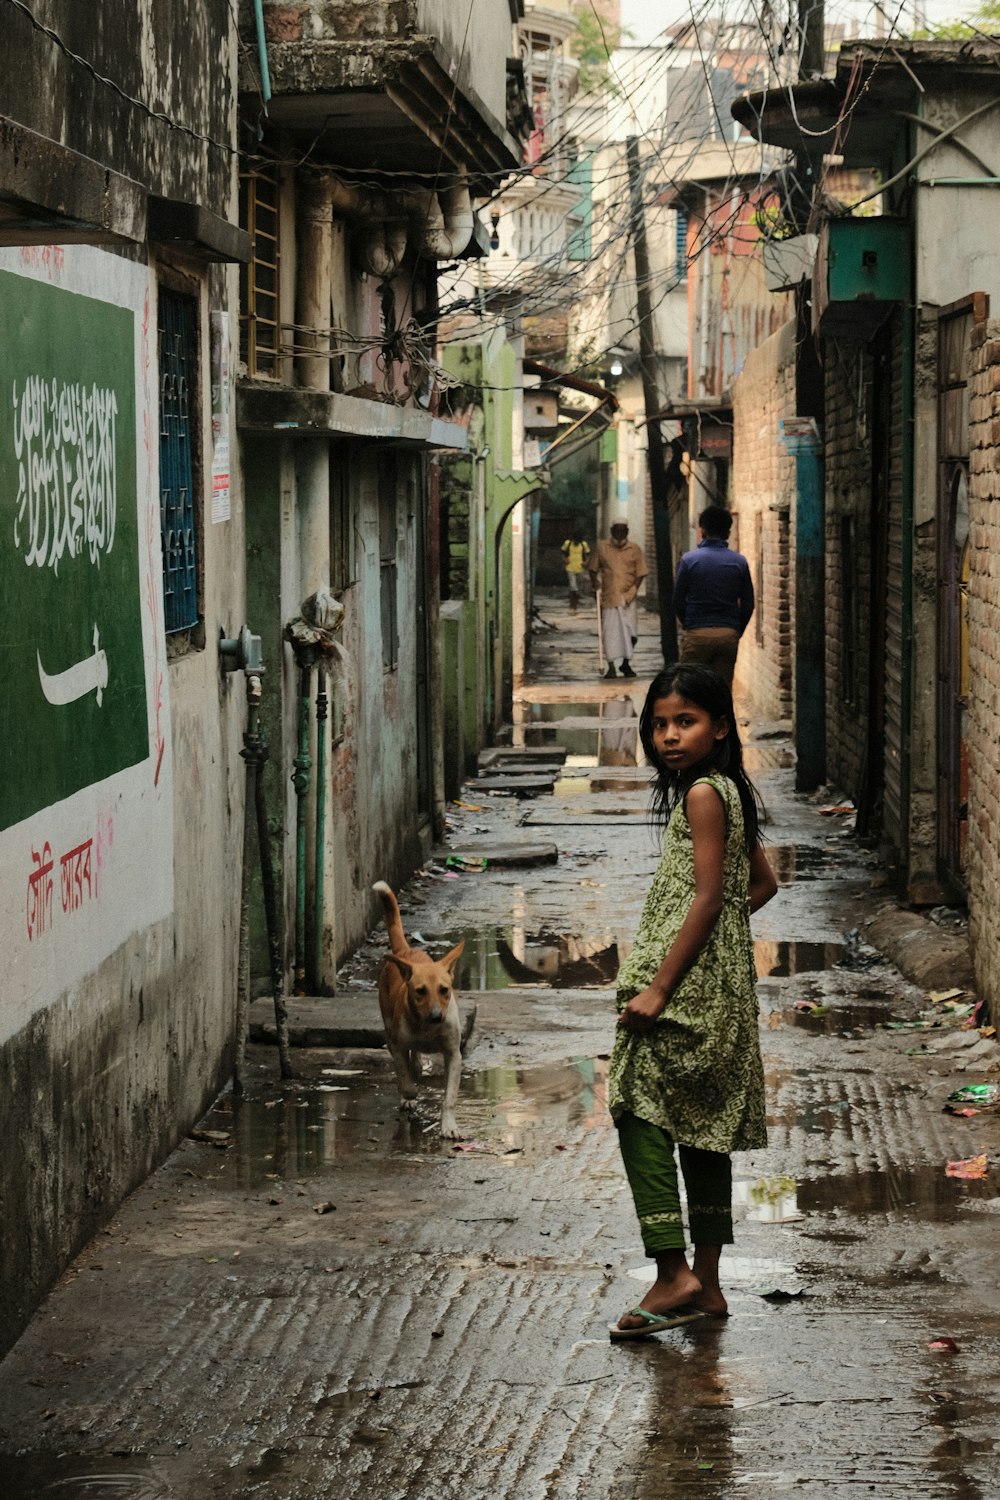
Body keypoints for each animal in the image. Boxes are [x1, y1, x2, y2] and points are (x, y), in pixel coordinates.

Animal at [373, 876, 467, 1134]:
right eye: (420, 991)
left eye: (444, 990)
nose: (436, 1016)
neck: (427, 1029)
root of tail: (405, 950)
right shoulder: (396, 1044)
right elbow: (404, 1079)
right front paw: (409, 1094)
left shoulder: (453, 1053)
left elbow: (450, 1097)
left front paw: (449, 1126)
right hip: (387, 1022)